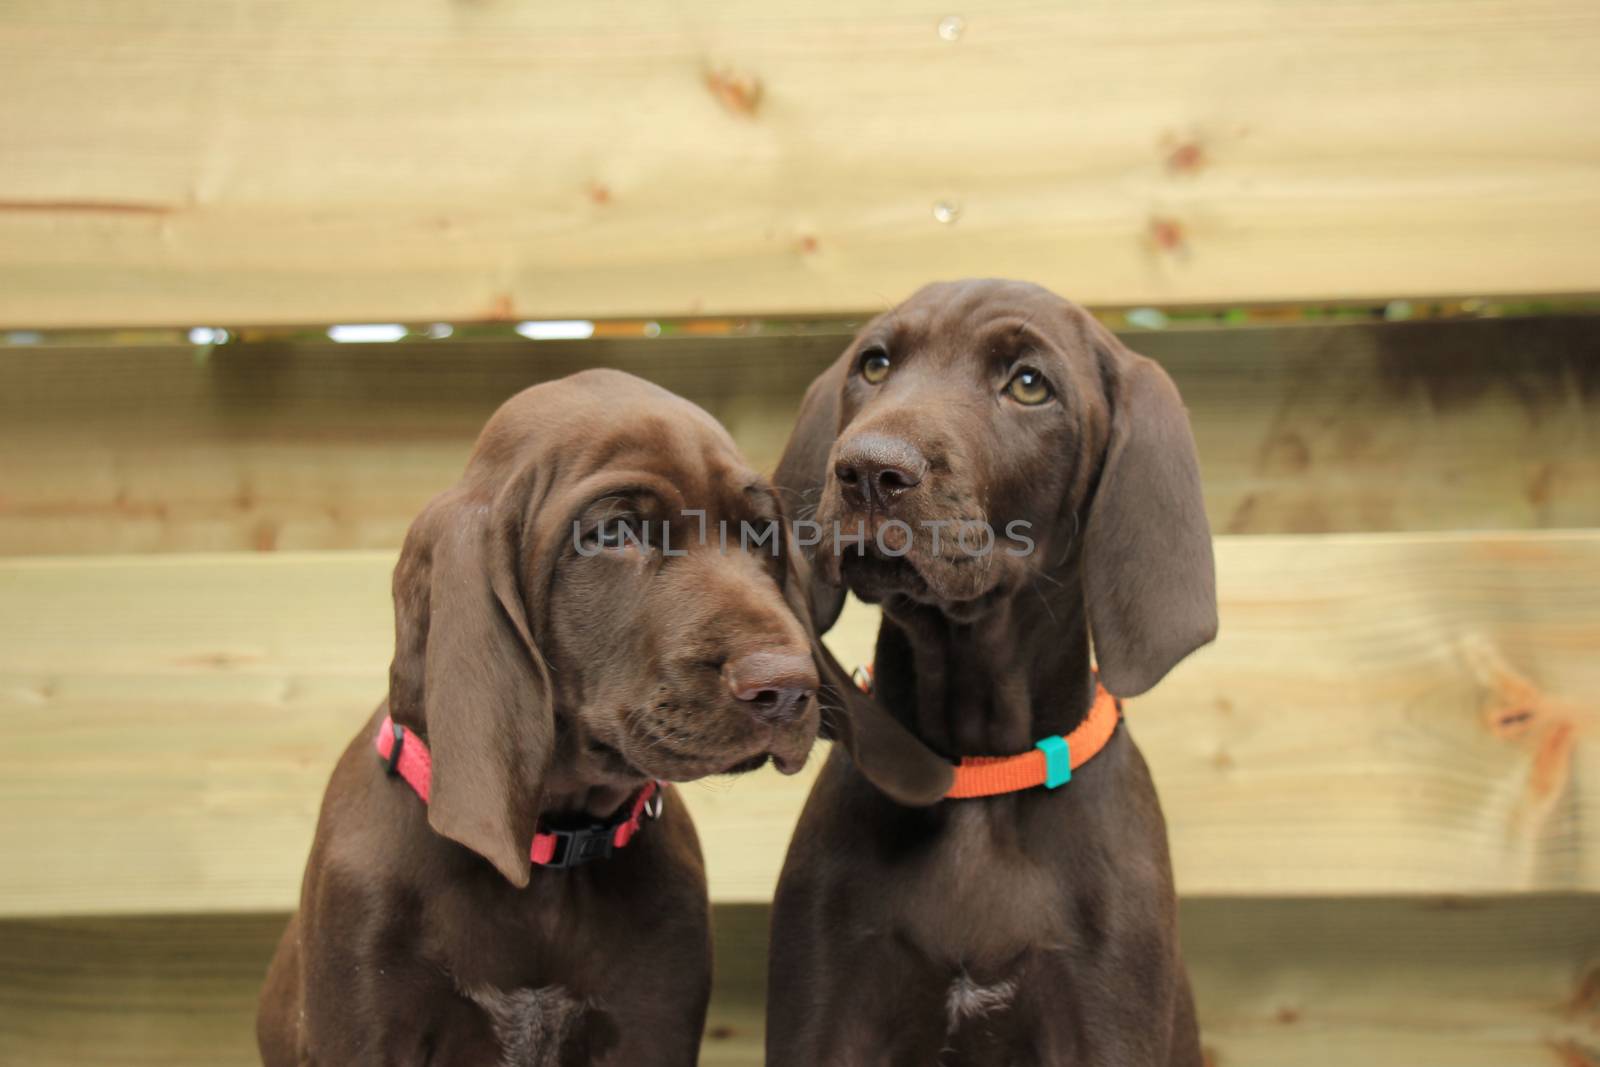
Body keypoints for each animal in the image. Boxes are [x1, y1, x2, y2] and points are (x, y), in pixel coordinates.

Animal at [257, 369, 825, 1067]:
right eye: (614, 535)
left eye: (761, 537)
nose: (790, 686)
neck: (553, 848)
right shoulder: (366, 1029)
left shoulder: (651, 1023)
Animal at [761, 281, 1209, 1067]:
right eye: (874, 365)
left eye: (1029, 384)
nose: (867, 470)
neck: (979, 775)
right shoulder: (823, 1011)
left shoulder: (1105, 1017)